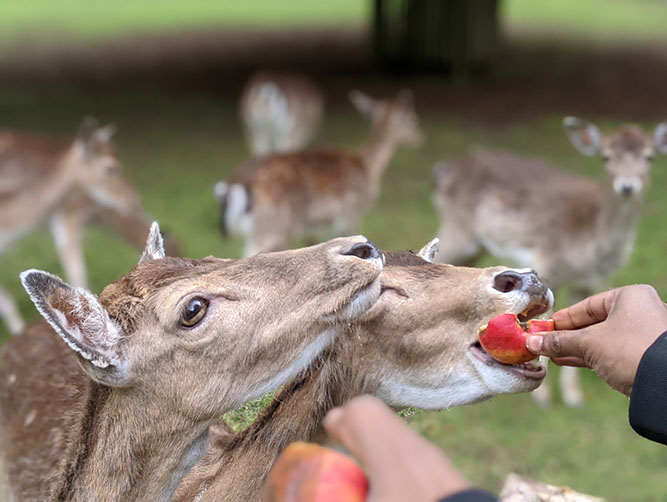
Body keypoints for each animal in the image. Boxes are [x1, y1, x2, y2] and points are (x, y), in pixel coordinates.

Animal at [214, 88, 422, 256]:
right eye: (412, 118)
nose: (419, 137)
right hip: (271, 227)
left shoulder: (314, 228)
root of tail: (235, 182)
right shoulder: (352, 213)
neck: (368, 166)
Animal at [434, 117, 667, 408]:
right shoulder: (546, 260)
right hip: (458, 229)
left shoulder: (587, 281)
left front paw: (574, 397)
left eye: (649, 157)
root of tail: (445, 169)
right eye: (606, 156)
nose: (627, 186)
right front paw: (543, 398)